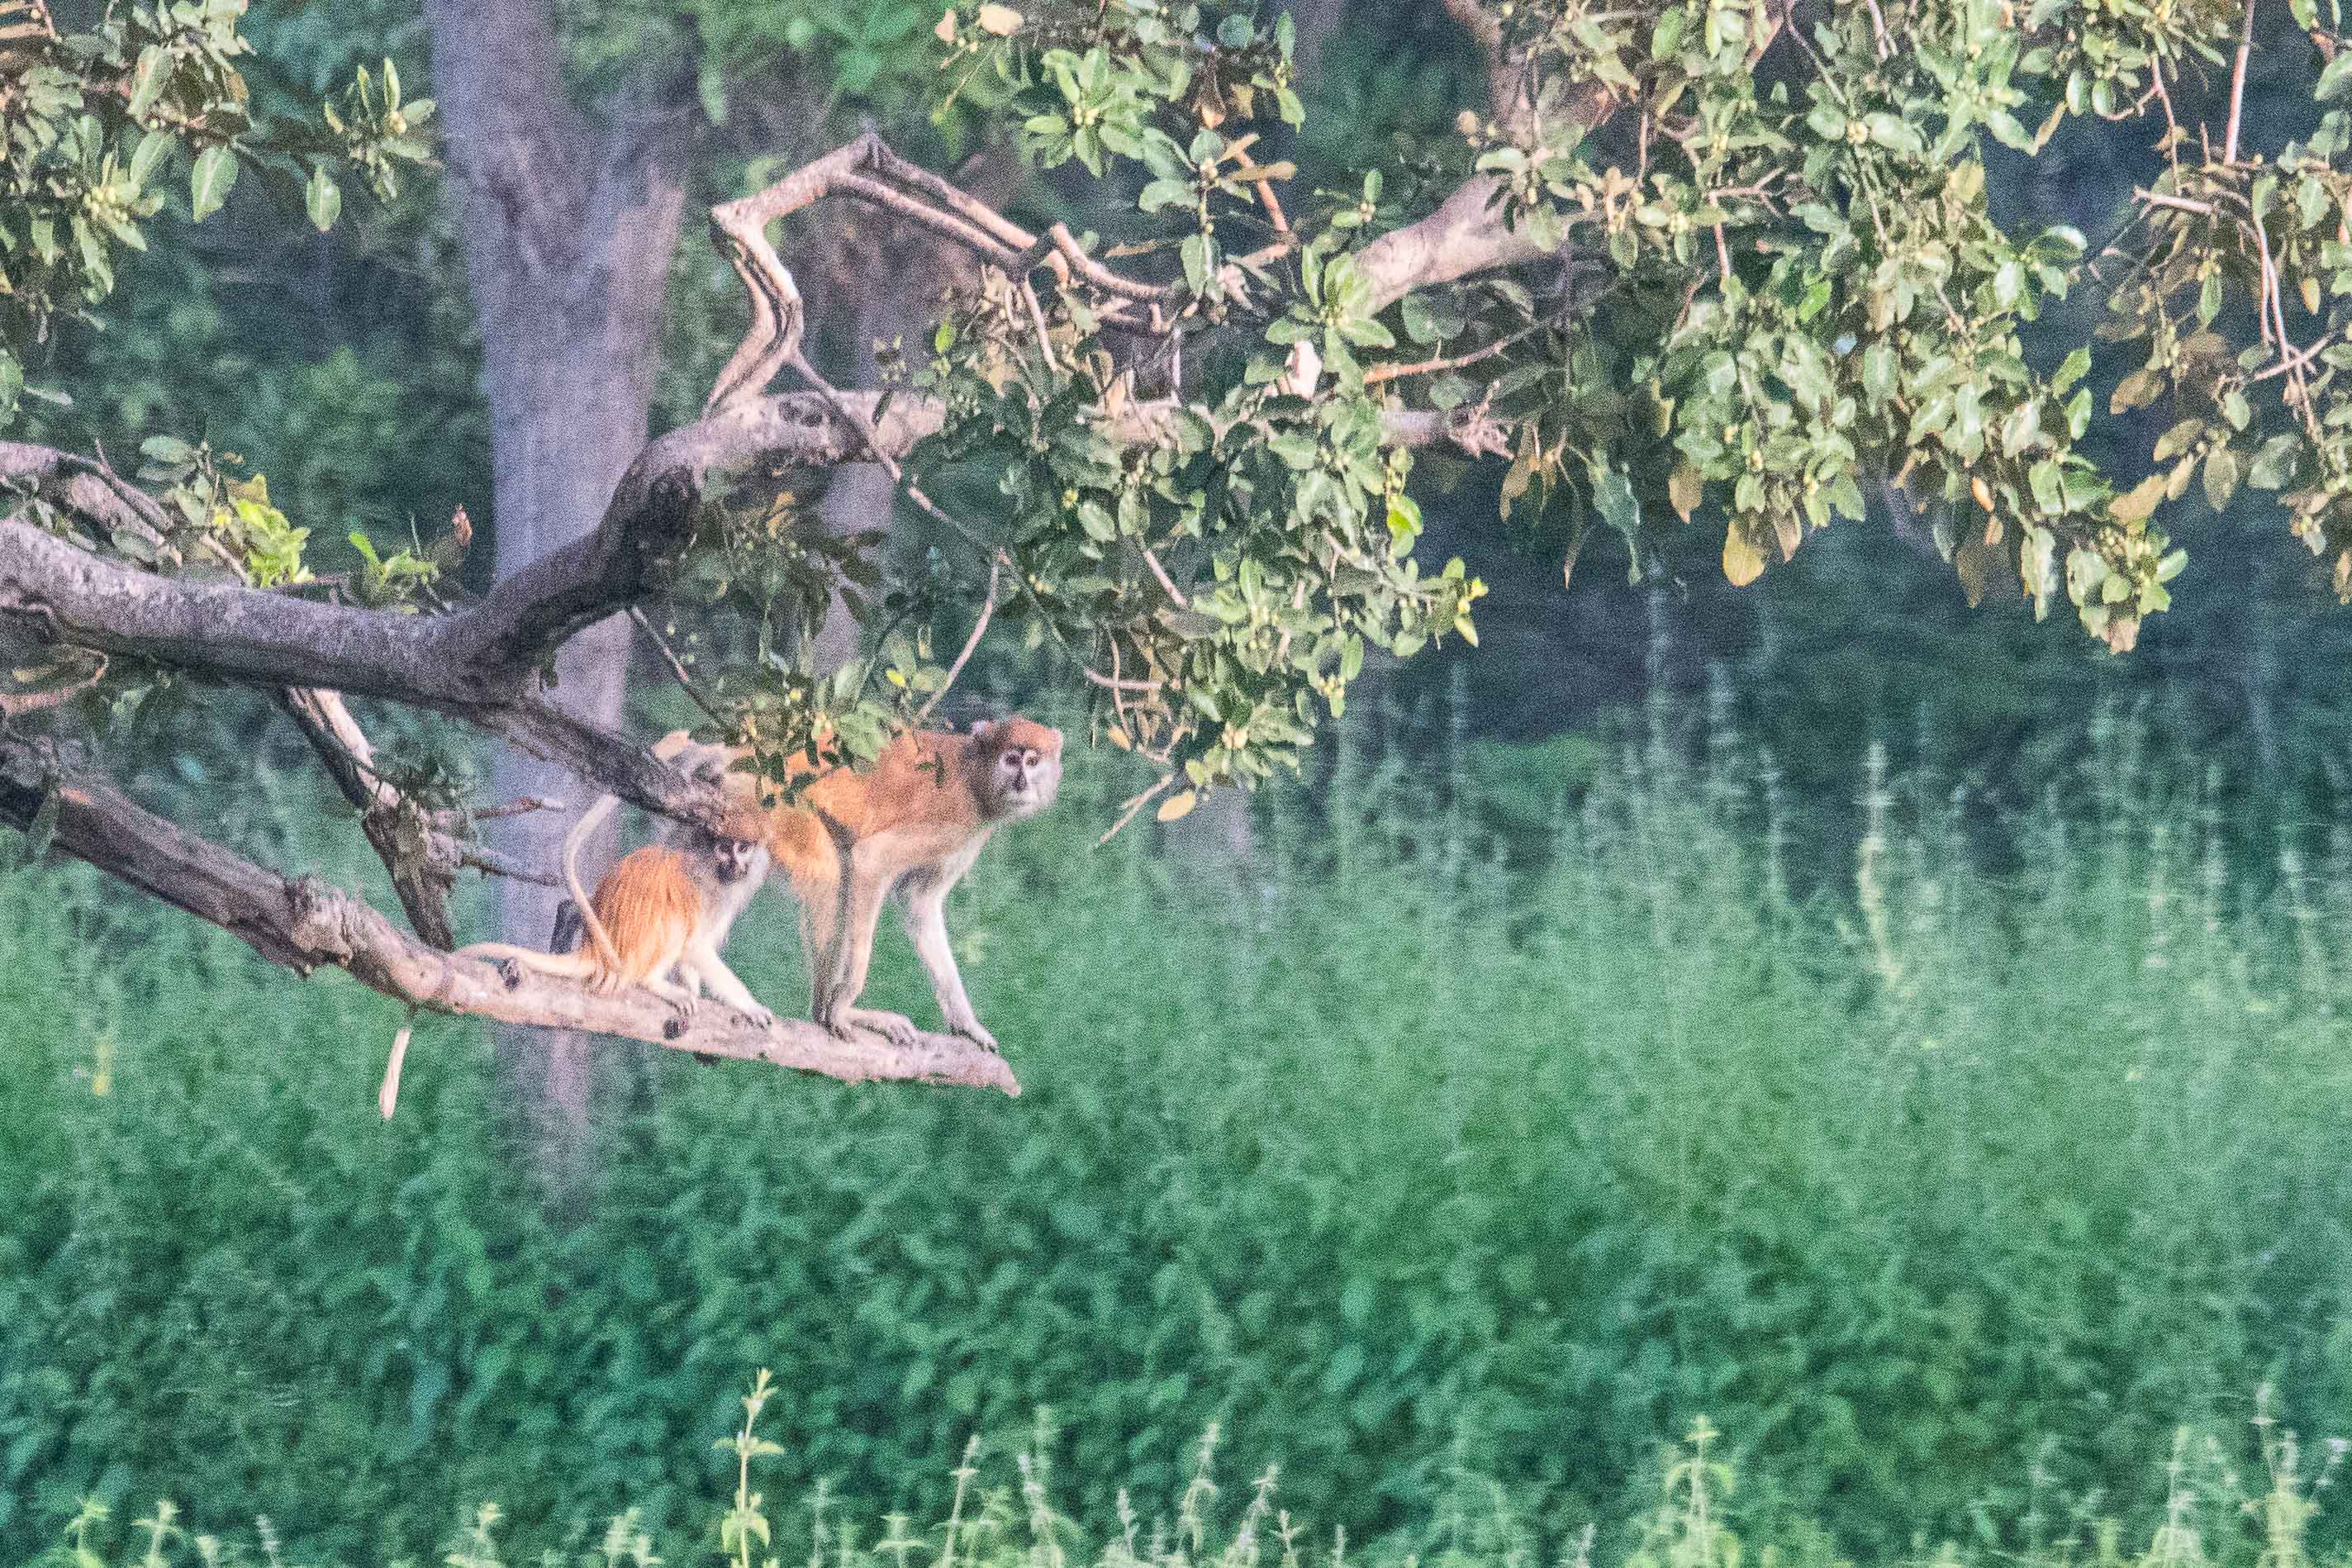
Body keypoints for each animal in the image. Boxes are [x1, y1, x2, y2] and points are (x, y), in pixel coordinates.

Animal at [668, 719, 1062, 1048]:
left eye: (1033, 762)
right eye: (1011, 760)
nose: (1022, 783)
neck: (976, 775)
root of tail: (735, 752)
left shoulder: (970, 834)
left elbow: (921, 904)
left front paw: (967, 1025)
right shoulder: (956, 816)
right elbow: (870, 859)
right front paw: (842, 1010)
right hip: (768, 799)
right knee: (829, 874)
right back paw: (825, 1015)